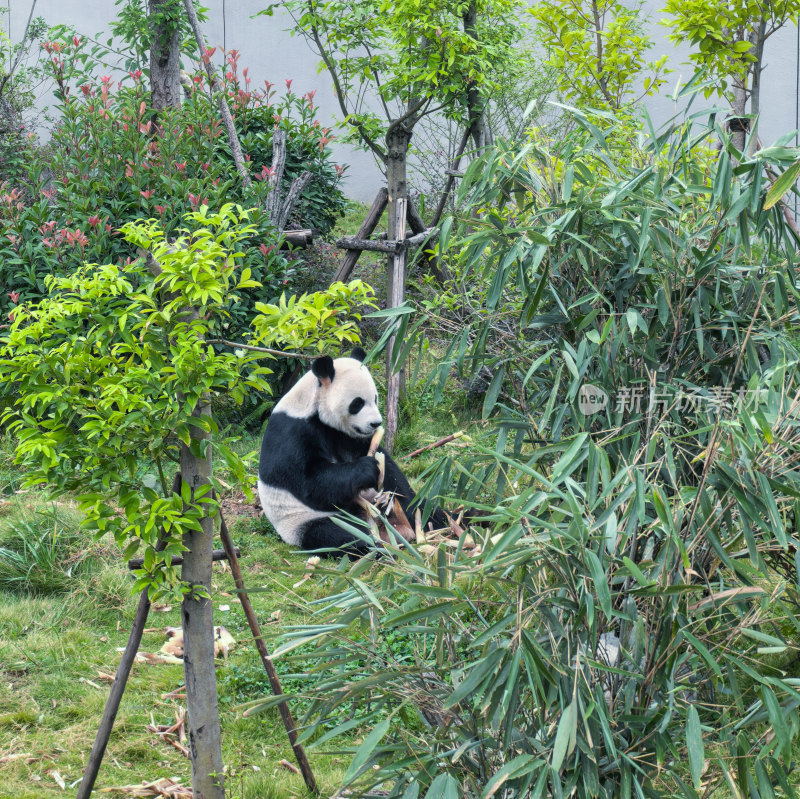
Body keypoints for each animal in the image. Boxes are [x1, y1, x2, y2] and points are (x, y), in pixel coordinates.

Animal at [256, 344, 444, 556]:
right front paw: (366, 469)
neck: (313, 406)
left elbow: (392, 475)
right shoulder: (292, 433)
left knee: (427, 510)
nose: (375, 423)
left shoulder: (348, 436)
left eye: (376, 398)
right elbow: (310, 482)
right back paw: (379, 547)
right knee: (338, 535)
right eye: (357, 403)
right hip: (305, 521)